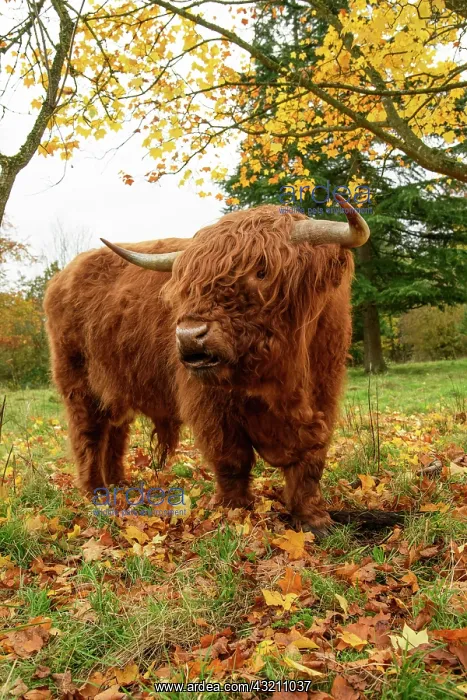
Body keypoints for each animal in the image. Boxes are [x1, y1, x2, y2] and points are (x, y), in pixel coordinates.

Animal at [44, 196, 369, 536]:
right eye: (188, 283)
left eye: (262, 271)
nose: (189, 336)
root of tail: (62, 278)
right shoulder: (211, 404)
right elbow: (231, 457)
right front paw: (232, 510)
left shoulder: (324, 392)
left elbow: (310, 460)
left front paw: (313, 519)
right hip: (77, 383)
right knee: (89, 434)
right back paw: (97, 492)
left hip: (116, 386)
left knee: (115, 432)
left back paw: (120, 484)